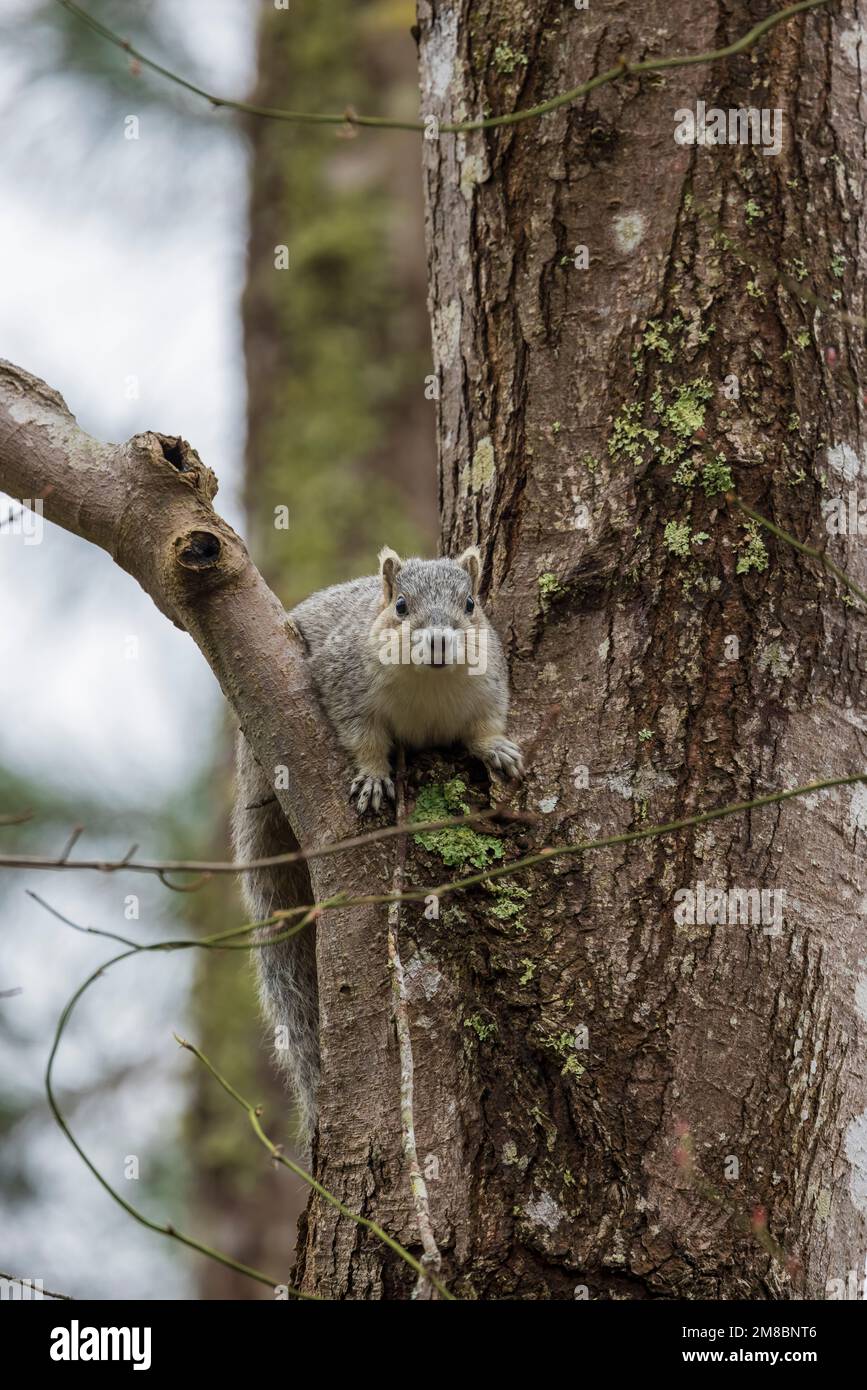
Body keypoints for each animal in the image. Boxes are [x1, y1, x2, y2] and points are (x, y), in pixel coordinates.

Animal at [230, 542, 525, 1139]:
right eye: (401, 605)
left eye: (471, 604)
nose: (439, 641)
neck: (429, 687)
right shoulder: (344, 686)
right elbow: (362, 737)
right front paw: (371, 777)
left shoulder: (489, 688)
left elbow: (484, 727)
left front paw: (498, 750)